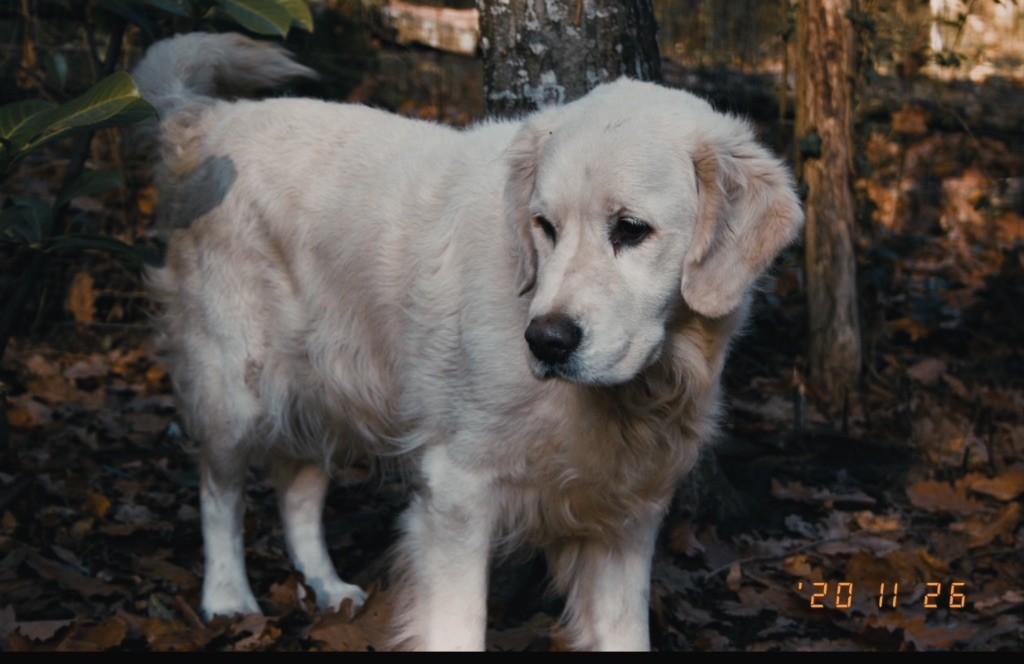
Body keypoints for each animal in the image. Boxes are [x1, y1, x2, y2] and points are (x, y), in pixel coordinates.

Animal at [131, 32, 803, 651]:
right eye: (544, 226)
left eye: (632, 229)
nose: (546, 341)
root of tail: (209, 119)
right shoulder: (457, 493)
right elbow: (458, 625)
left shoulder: (626, 519)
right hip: (235, 382)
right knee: (220, 489)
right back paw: (227, 598)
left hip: (328, 383)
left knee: (298, 487)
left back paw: (329, 587)